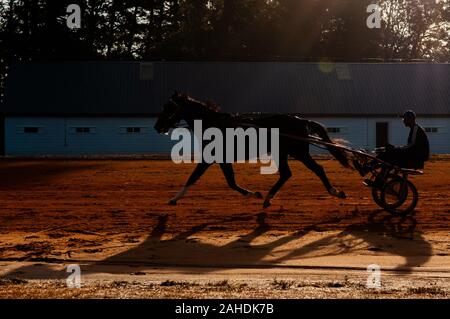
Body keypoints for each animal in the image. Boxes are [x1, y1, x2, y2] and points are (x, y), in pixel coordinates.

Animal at [153, 91, 350, 209]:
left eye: (168, 107)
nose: (157, 126)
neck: (214, 124)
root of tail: (300, 120)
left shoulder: (210, 158)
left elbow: (194, 177)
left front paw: (174, 199)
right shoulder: (221, 159)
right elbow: (230, 182)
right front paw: (253, 193)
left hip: (297, 152)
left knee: (317, 169)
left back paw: (335, 192)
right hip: (283, 152)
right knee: (287, 174)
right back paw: (268, 198)